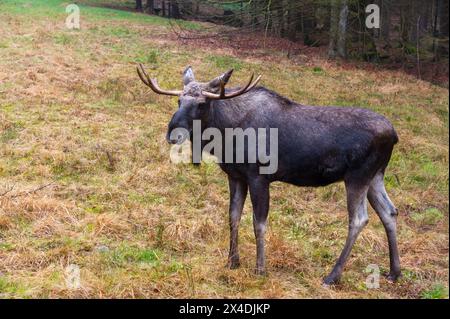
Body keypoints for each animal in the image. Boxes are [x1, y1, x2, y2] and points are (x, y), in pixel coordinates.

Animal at [137, 63, 400, 286]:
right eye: (179, 100)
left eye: (201, 103)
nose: (173, 133)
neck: (226, 133)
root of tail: (394, 135)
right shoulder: (235, 176)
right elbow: (233, 216)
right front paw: (232, 261)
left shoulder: (258, 176)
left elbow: (259, 223)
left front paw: (260, 269)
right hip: (376, 176)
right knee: (389, 212)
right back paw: (394, 272)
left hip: (357, 176)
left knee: (359, 219)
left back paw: (332, 276)